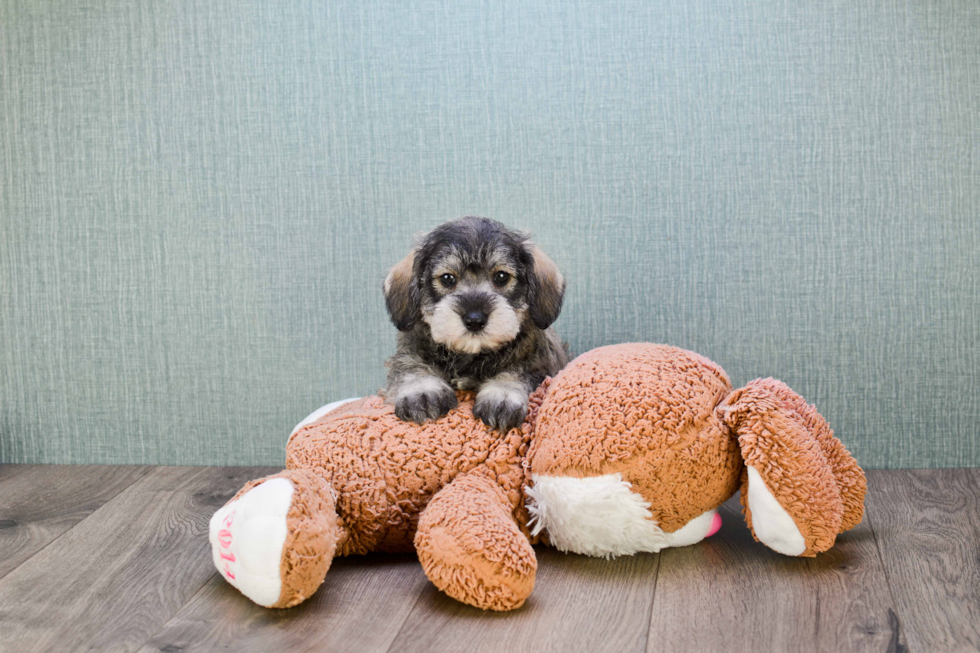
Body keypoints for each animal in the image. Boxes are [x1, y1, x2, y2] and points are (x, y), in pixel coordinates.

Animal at [380, 216, 568, 432]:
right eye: (447, 278)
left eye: (502, 276)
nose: (475, 320)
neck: (471, 356)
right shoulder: (408, 351)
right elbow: (410, 366)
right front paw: (421, 391)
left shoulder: (540, 364)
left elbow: (517, 372)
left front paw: (501, 396)